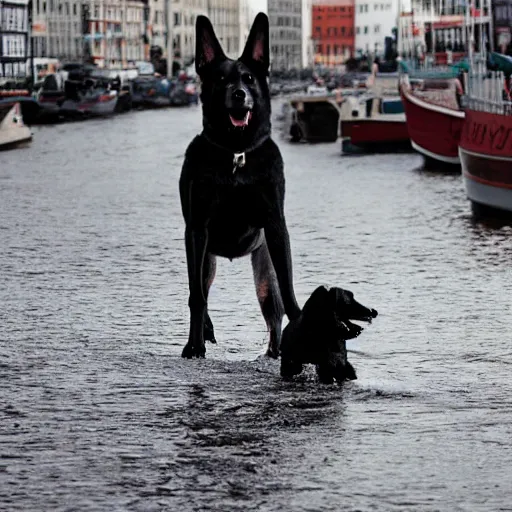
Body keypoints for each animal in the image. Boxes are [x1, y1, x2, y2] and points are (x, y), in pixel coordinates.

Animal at [179, 12, 300, 358]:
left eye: (248, 78)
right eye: (221, 79)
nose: (239, 94)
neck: (236, 153)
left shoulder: (276, 227)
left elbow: (289, 294)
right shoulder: (196, 231)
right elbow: (195, 297)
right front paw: (194, 345)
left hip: (265, 273)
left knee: (275, 309)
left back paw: (275, 351)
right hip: (206, 259)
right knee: (201, 291)